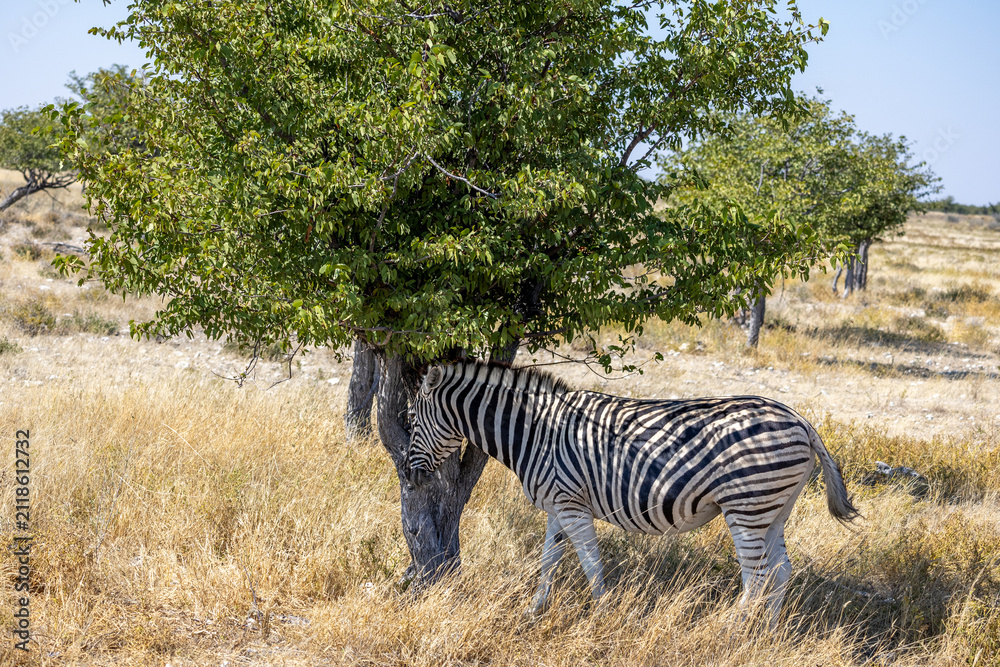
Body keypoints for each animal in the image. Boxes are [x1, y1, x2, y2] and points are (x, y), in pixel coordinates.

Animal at [405, 360, 858, 623]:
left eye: (411, 420)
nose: (410, 476)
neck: (535, 432)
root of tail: (801, 420)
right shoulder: (557, 506)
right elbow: (548, 561)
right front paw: (534, 612)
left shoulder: (571, 505)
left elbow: (590, 563)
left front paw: (602, 614)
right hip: (774, 511)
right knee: (780, 571)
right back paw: (766, 634)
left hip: (747, 507)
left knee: (758, 576)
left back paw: (730, 631)